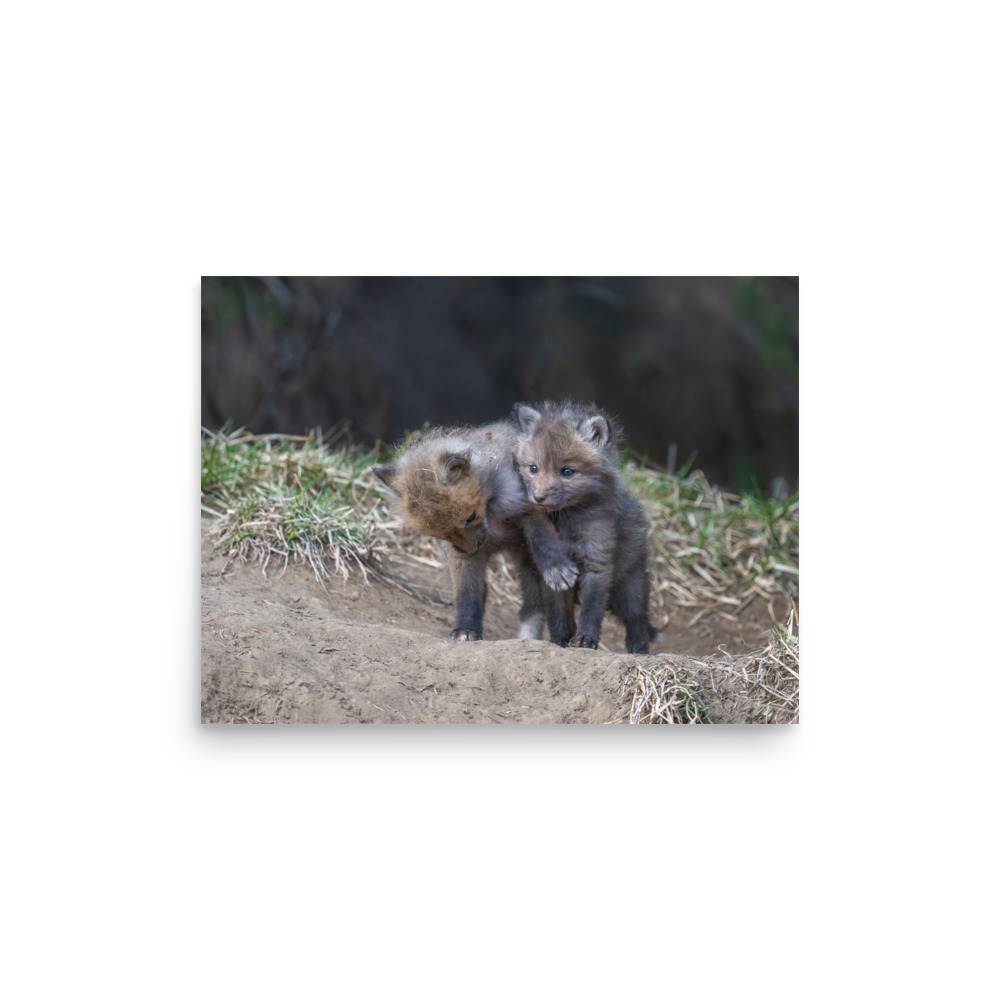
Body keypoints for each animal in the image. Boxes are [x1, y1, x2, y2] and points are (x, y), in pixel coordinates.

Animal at [372, 421, 578, 642]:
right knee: (532, 605)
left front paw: (556, 567)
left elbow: (543, 539)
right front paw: (466, 629)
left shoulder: (530, 507)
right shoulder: (460, 555)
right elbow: (467, 593)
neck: (492, 513)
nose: (472, 549)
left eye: (470, 517)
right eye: (439, 534)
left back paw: (561, 640)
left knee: (555, 608)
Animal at [512, 400, 654, 655]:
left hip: (631, 586)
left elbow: (591, 609)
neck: (567, 521)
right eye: (533, 468)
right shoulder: (553, 577)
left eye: (567, 472)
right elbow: (558, 614)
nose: (538, 497)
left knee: (638, 620)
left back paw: (640, 651)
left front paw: (585, 639)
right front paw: (560, 641)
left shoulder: (597, 562)